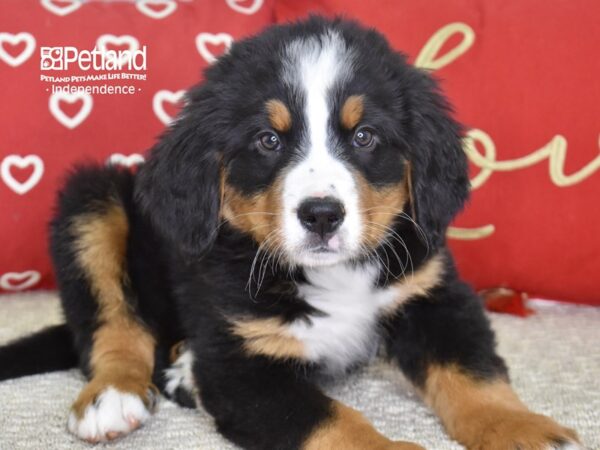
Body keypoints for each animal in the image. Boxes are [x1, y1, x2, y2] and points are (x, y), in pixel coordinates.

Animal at [0, 15, 580, 448]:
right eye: (268, 140)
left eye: (364, 136)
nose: (322, 214)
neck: (335, 276)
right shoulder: (240, 367)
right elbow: (335, 422)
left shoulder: (432, 294)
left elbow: (474, 374)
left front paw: (524, 429)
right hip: (91, 203)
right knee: (110, 322)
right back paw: (113, 395)